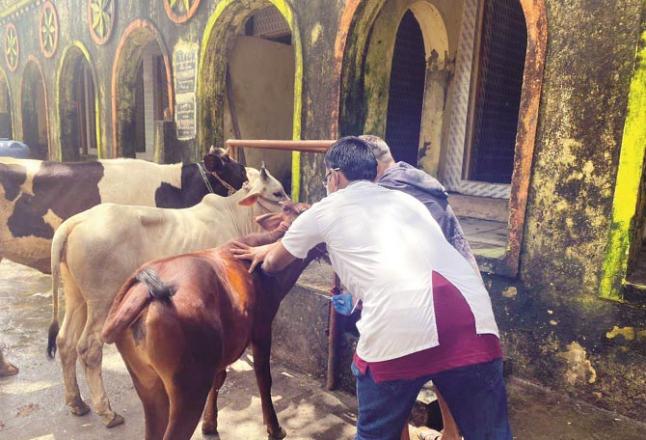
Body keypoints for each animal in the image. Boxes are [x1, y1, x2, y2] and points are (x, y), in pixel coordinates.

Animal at [46, 166, 288, 426]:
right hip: (102, 299)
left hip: (76, 295)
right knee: (88, 348)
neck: (236, 216)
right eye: (277, 193)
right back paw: (107, 412)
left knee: (65, 341)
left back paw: (77, 402)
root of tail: (76, 221)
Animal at [104, 204, 324, 440]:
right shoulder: (262, 328)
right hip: (189, 390)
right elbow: (263, 377)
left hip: (148, 384)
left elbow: (219, 379)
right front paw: (274, 428)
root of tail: (144, 289)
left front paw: (209, 425)